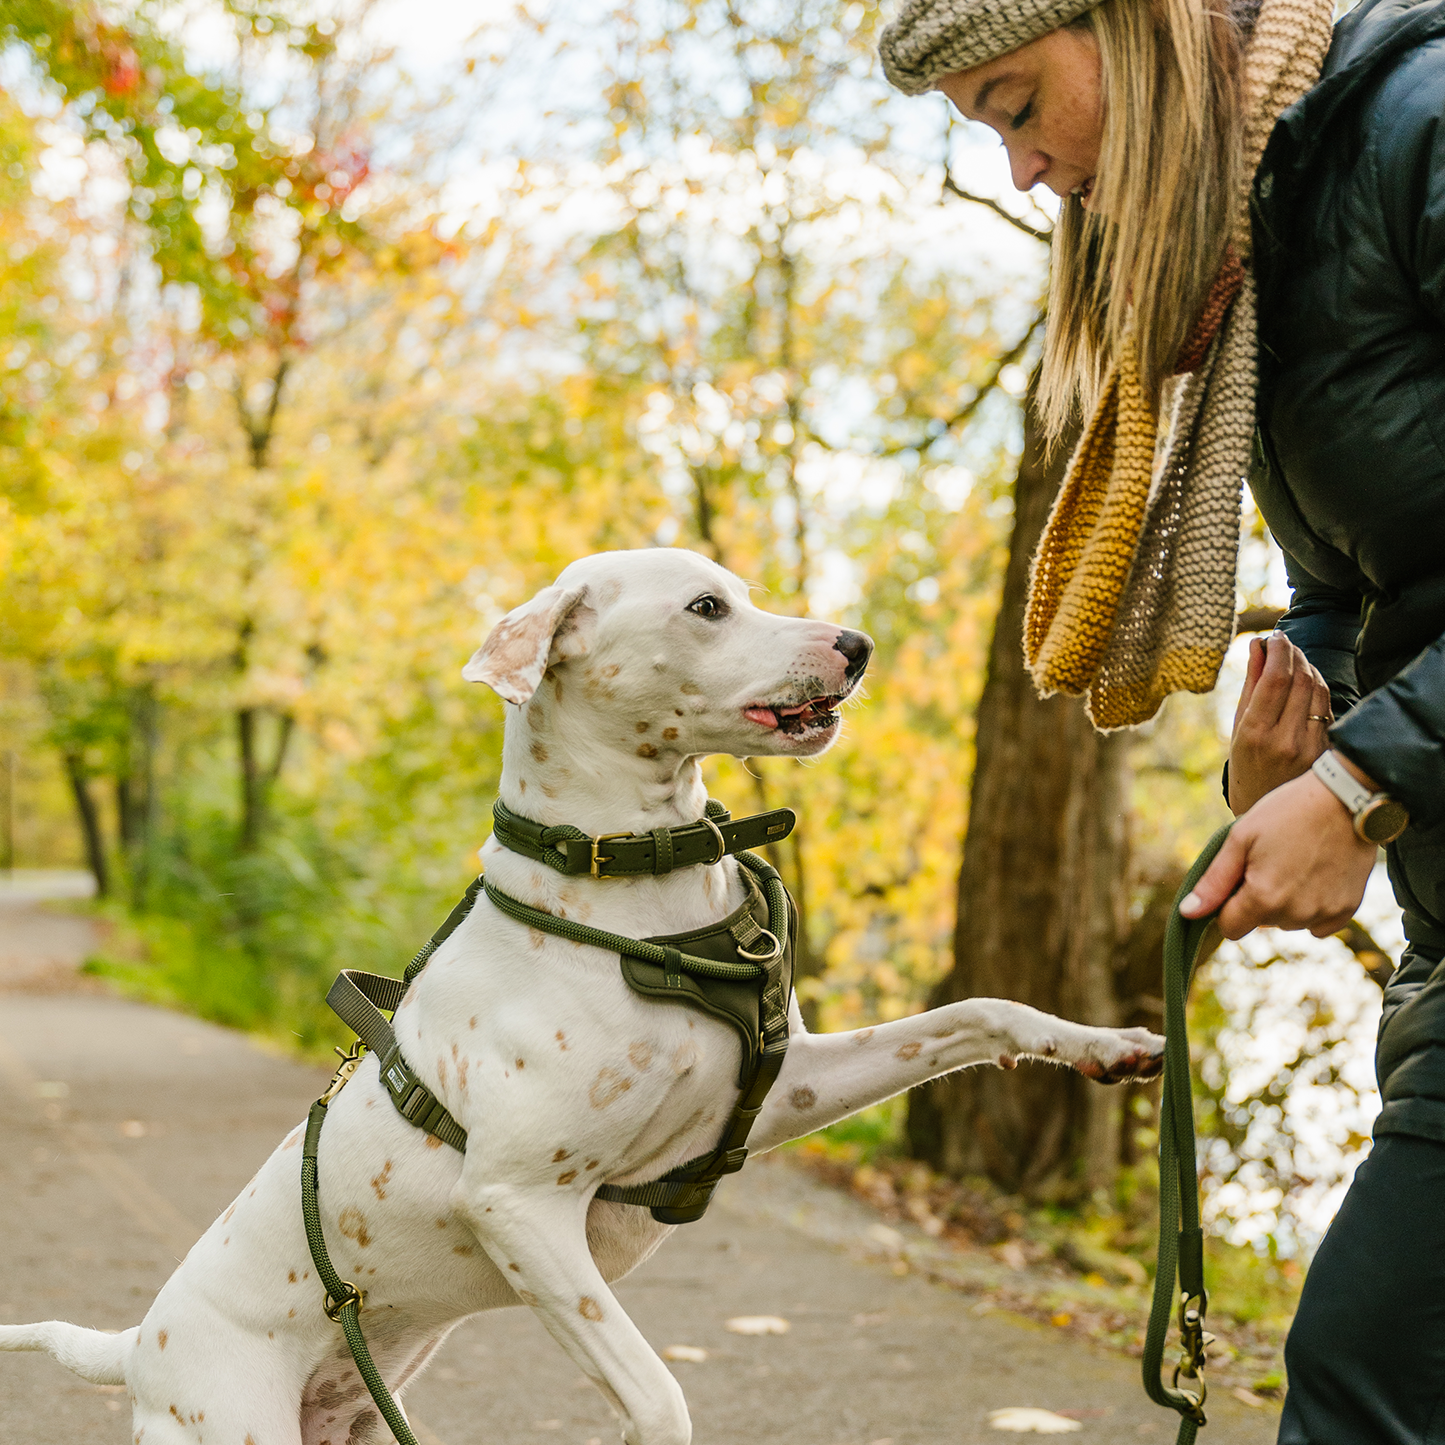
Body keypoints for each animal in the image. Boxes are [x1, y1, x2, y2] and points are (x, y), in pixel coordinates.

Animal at [0, 546, 1156, 1439]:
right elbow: (655, 1396)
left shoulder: (779, 1091)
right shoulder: (521, 1203)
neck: (636, 891)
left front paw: (1101, 1041)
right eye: (705, 607)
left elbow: (969, 1016)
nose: (858, 643)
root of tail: (138, 1343)